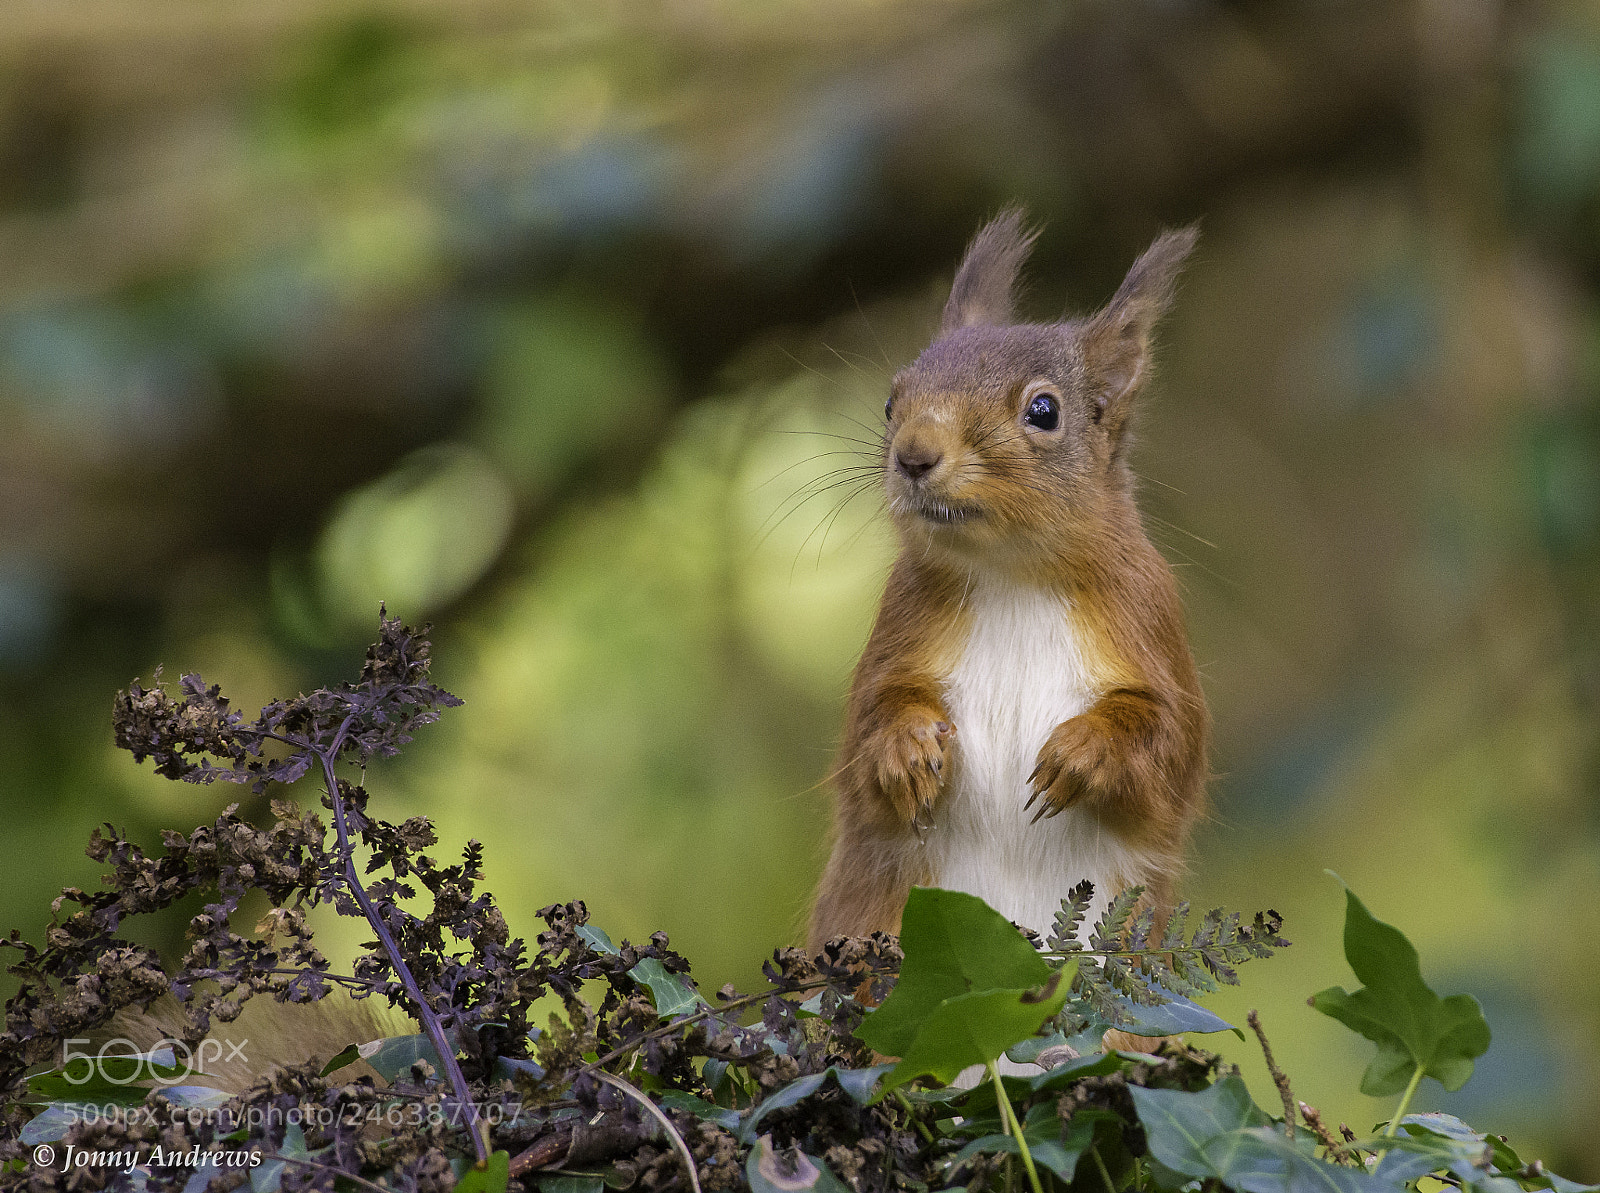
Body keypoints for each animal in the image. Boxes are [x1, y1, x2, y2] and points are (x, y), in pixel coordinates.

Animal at [808, 211, 1207, 958]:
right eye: (891, 400)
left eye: (1044, 411)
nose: (913, 454)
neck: (1013, 576)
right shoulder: (901, 622)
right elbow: (867, 738)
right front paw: (906, 748)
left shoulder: (1149, 615)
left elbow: (1169, 747)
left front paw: (1084, 751)